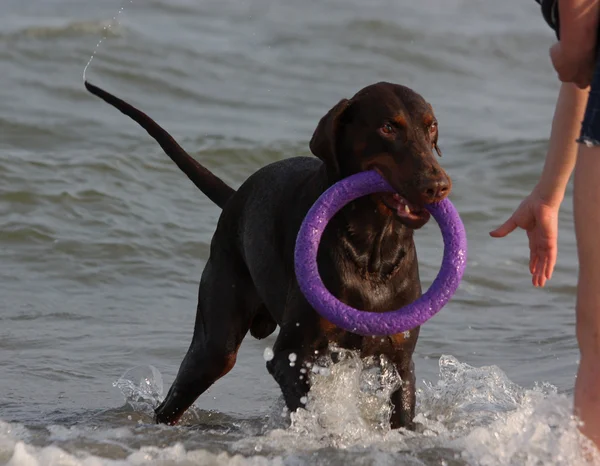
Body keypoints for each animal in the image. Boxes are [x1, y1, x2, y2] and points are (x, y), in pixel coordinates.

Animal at [84, 79, 450, 430]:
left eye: (431, 126)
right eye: (388, 127)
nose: (439, 185)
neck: (372, 253)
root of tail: (235, 198)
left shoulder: (399, 361)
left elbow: (402, 414)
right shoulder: (291, 356)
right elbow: (311, 411)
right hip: (215, 343)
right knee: (178, 396)